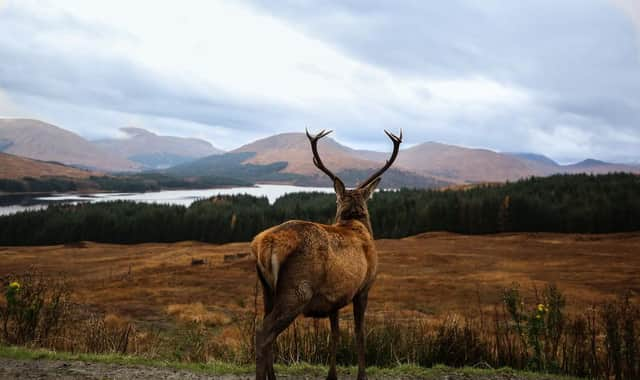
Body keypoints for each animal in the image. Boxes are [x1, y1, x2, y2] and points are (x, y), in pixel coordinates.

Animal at [250, 128, 400, 380]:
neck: (356, 225)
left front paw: (332, 375)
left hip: (267, 290)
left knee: (266, 331)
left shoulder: (333, 298)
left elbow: (335, 335)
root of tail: (264, 244)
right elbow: (359, 333)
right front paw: (362, 375)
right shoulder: (364, 287)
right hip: (296, 291)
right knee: (263, 334)